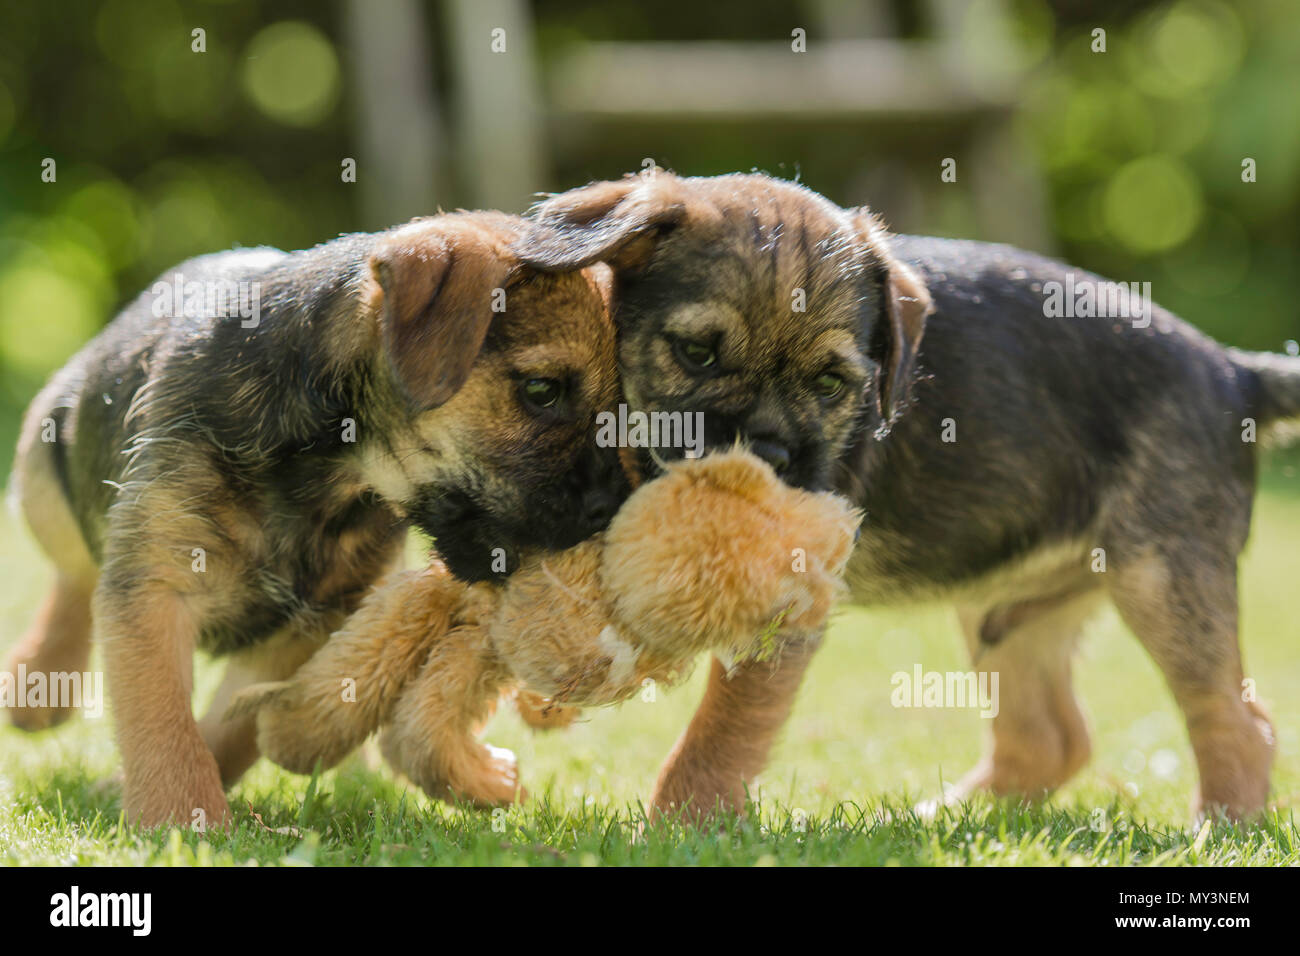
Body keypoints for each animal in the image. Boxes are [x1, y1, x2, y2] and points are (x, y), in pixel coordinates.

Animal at [5, 210, 624, 832]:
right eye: (541, 389)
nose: (609, 508)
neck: (325, 474)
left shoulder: (306, 623)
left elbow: (232, 727)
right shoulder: (155, 587)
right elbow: (163, 720)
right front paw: (179, 817)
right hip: (41, 467)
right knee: (73, 570)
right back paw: (40, 680)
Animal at [522, 171, 1294, 822]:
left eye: (831, 385)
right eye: (695, 353)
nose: (769, 451)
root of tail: (1233, 371)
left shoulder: (783, 607)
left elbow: (725, 727)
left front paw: (682, 824)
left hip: (1163, 581)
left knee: (1237, 720)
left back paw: (1216, 827)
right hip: (1010, 614)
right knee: (1049, 738)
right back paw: (947, 817)